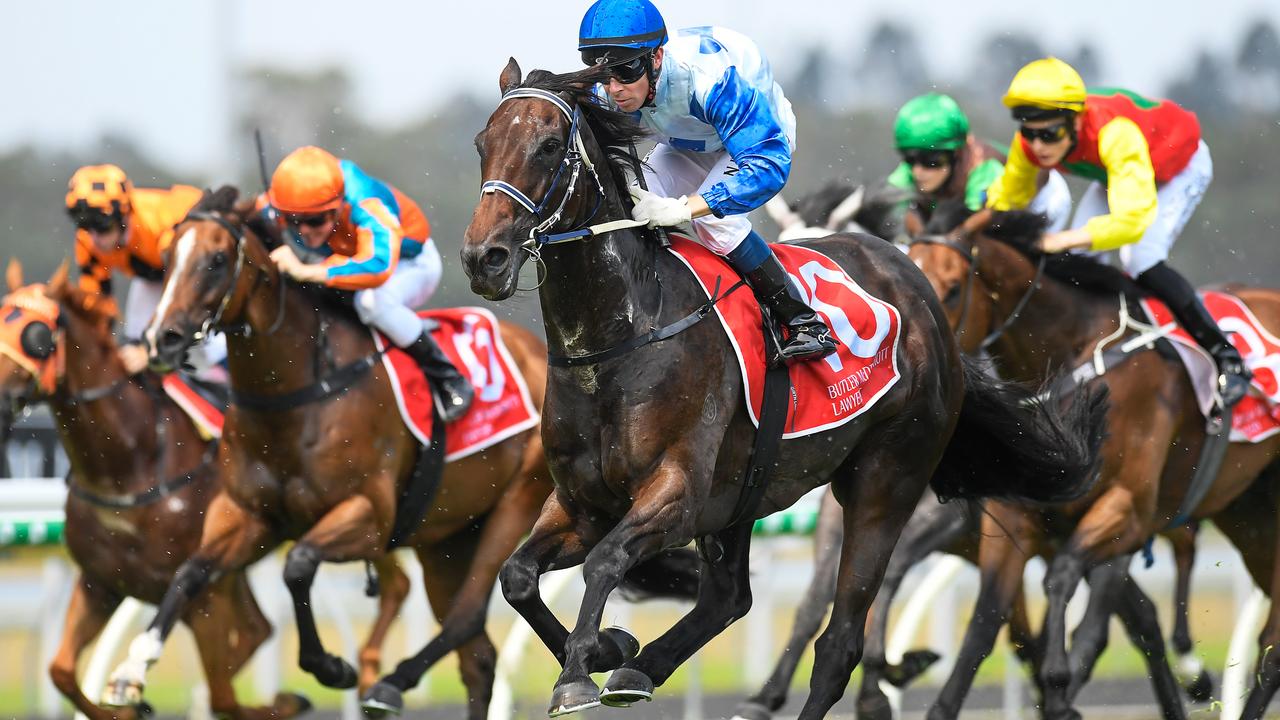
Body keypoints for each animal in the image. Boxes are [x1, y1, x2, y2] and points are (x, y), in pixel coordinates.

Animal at [0, 260, 330, 717]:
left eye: (37, 337)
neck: (127, 466)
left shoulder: (205, 597)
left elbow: (223, 695)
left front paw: (287, 699)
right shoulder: (99, 583)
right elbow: (61, 671)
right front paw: (127, 704)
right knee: (256, 630)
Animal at [463, 60, 1111, 717]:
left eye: (548, 147)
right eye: (483, 145)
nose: (483, 258)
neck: (624, 333)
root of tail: (922, 294)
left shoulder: (674, 494)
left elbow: (604, 561)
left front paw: (580, 670)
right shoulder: (582, 502)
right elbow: (518, 576)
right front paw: (609, 648)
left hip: (885, 483)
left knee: (839, 643)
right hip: (744, 493)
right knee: (729, 598)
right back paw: (641, 668)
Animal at [906, 203, 1280, 717]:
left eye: (953, 288)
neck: (1075, 355)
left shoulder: (1128, 509)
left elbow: (1063, 579)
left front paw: (1059, 682)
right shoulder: (1017, 520)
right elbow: (983, 627)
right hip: (1251, 514)